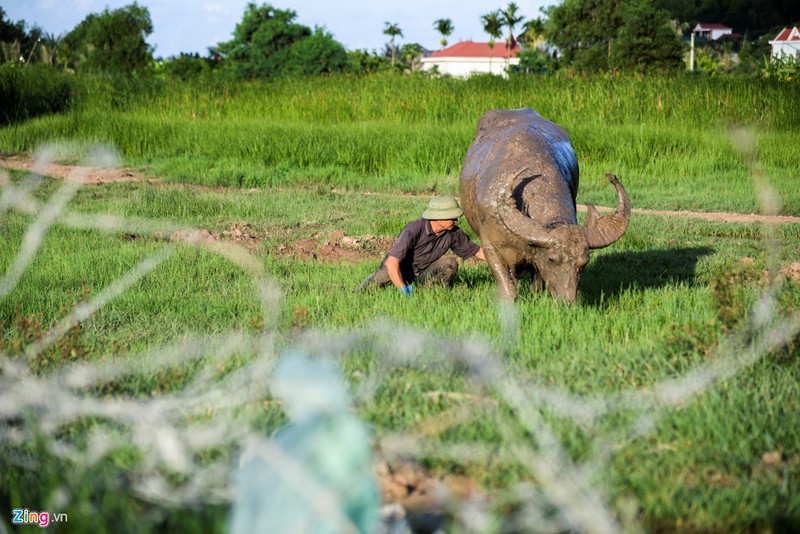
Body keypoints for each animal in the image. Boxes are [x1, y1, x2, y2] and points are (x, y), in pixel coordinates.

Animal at [460, 107, 628, 304]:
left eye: (583, 262)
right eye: (552, 259)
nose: (568, 300)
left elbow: (537, 283)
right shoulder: (490, 246)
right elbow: (506, 284)